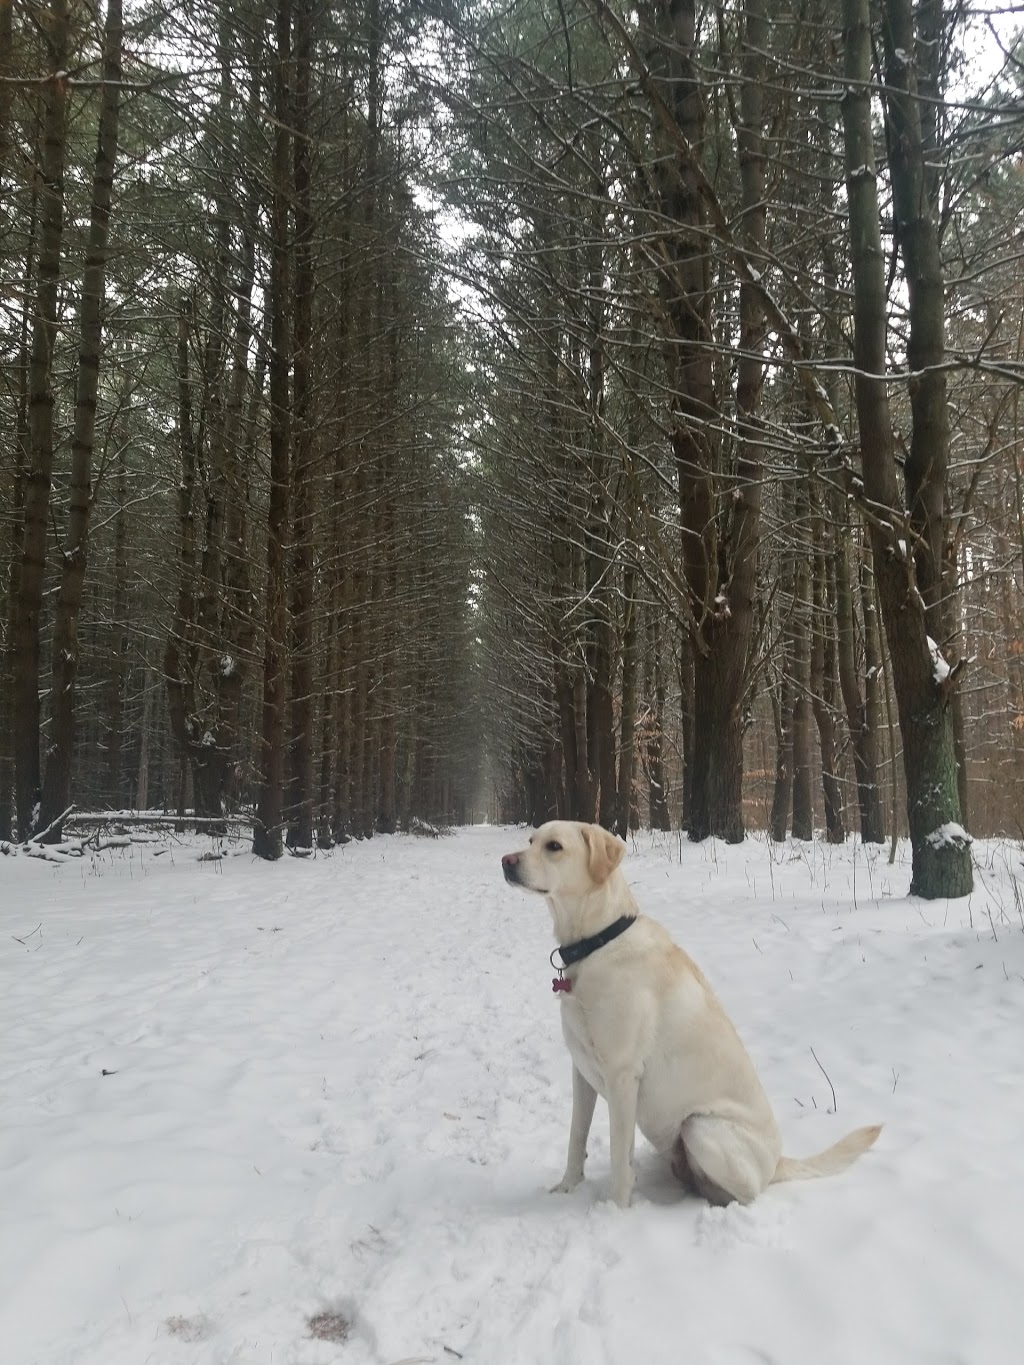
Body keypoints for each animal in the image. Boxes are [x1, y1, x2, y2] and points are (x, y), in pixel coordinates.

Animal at [505, 819, 884, 1206]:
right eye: (531, 840)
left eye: (554, 846)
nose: (506, 861)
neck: (597, 943)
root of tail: (777, 1162)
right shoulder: (581, 1071)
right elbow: (576, 1136)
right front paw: (567, 1187)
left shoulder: (622, 1075)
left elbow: (619, 1158)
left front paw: (615, 1209)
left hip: (699, 1126)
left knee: (746, 1193)